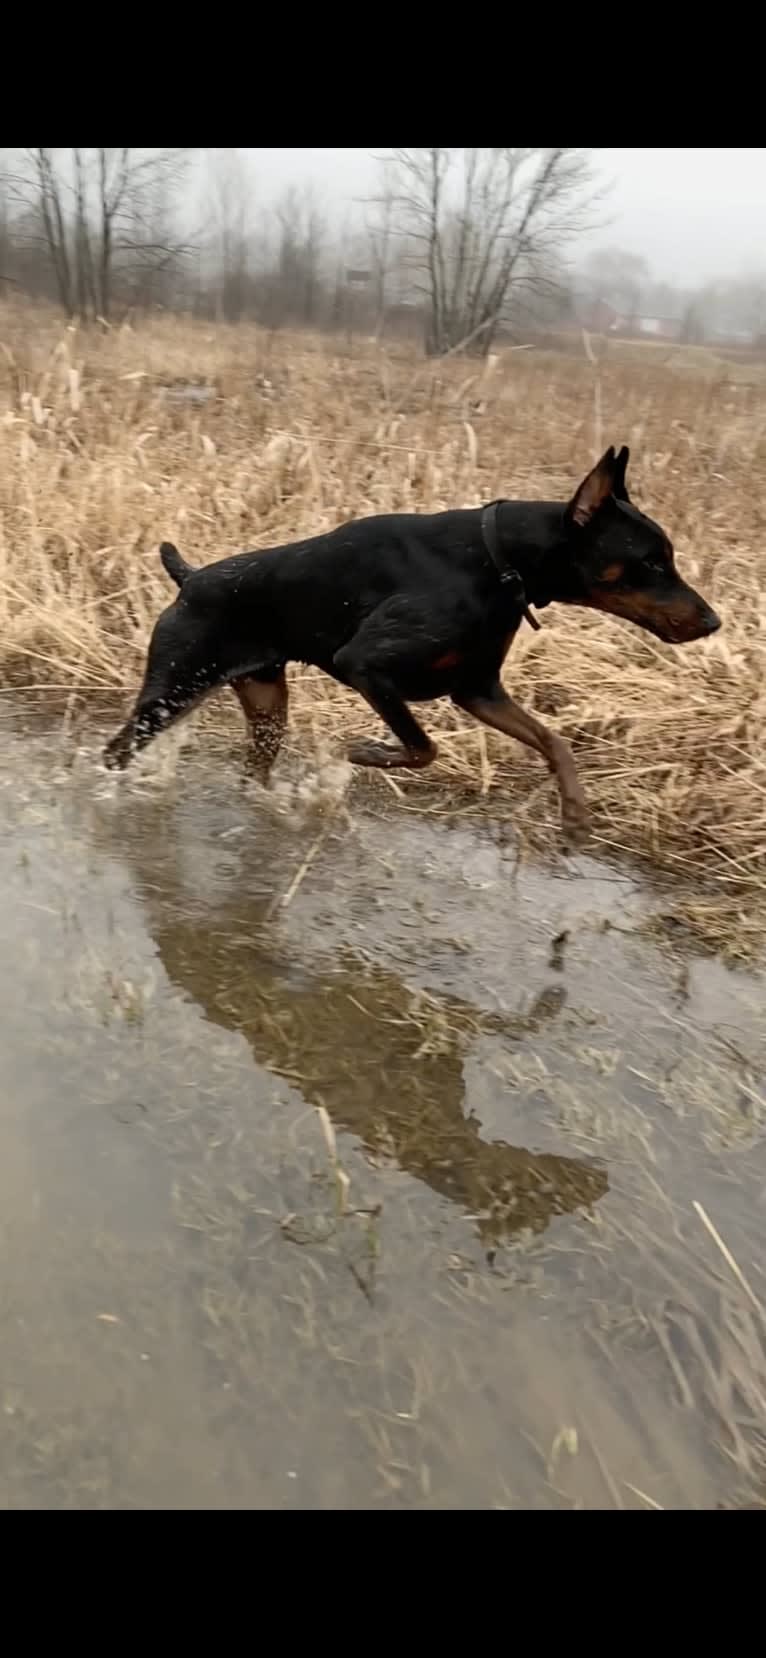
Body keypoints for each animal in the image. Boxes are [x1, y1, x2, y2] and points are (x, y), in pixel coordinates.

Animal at [104, 444, 719, 842]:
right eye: (652, 562)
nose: (713, 621)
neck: (497, 564)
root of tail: (189, 579)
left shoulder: (478, 690)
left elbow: (554, 741)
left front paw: (575, 814)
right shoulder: (367, 666)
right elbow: (424, 747)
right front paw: (367, 753)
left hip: (265, 703)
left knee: (251, 765)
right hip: (172, 691)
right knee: (117, 750)